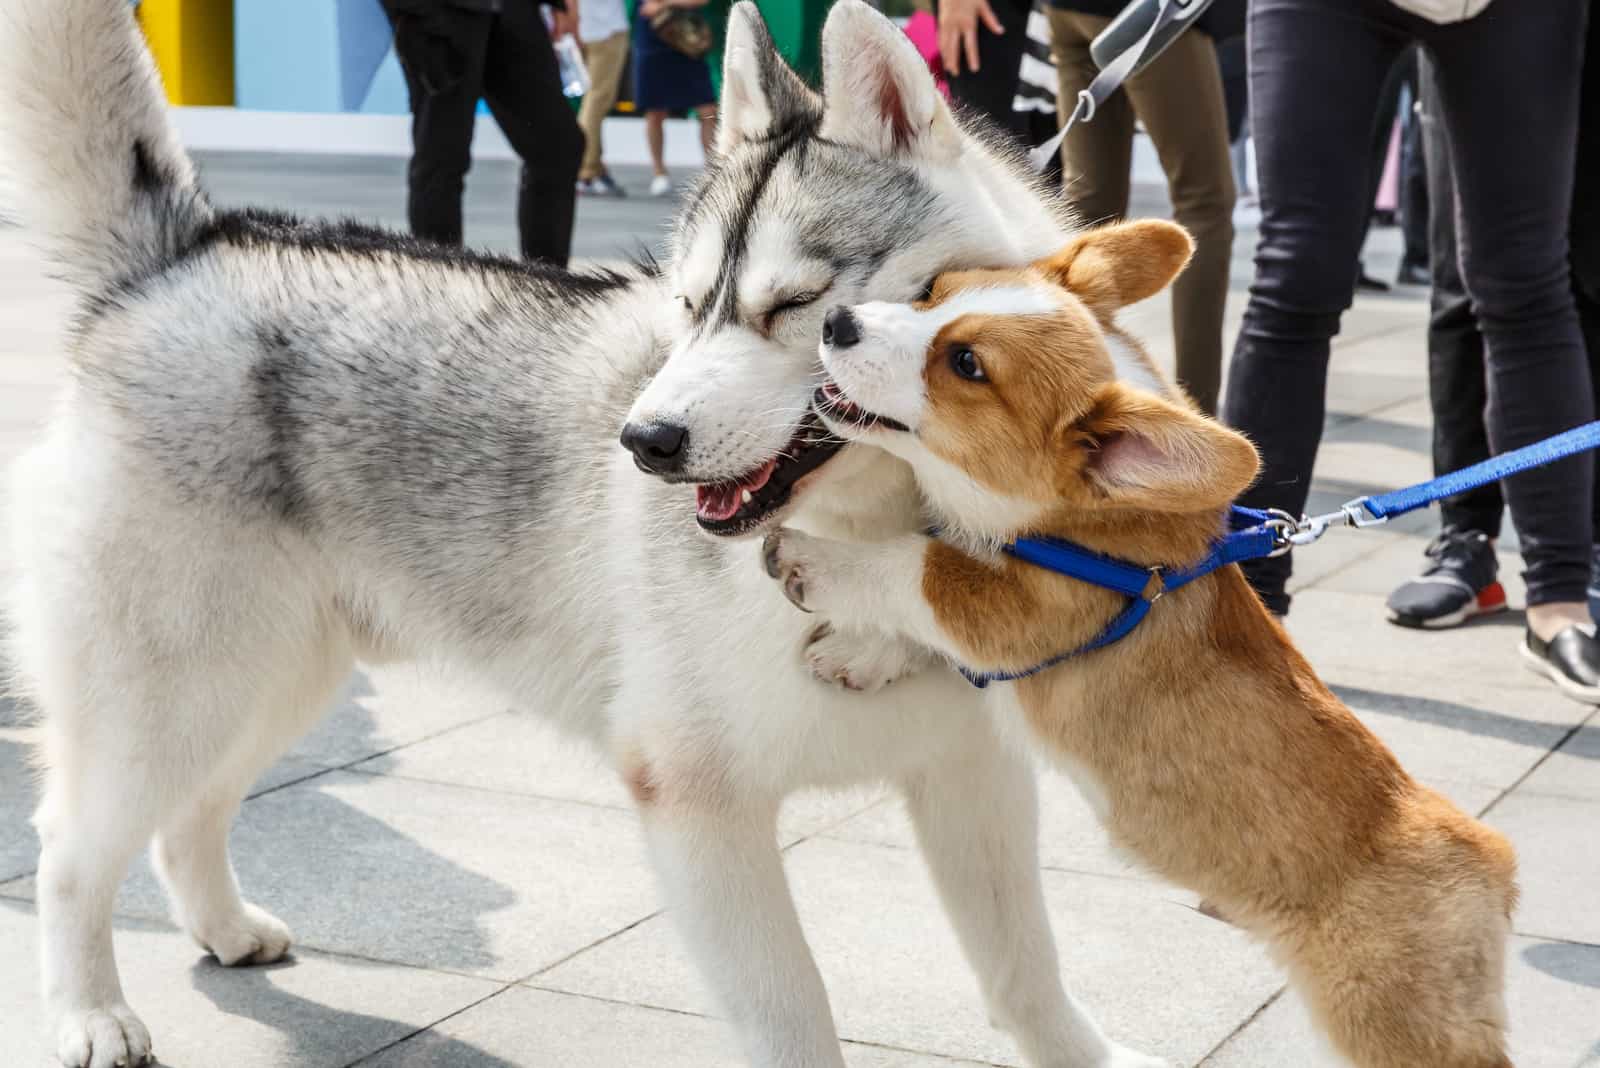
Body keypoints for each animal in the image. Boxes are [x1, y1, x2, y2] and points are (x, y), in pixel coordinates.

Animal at [0, 2, 1158, 1068]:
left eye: (797, 307)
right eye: (688, 306)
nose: (643, 441)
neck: (869, 543)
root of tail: (185, 254)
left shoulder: (972, 777)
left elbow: (1027, 974)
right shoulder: (695, 805)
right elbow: (794, 1021)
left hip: (270, 681)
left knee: (189, 811)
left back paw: (224, 929)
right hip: (176, 692)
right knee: (70, 848)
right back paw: (91, 1013)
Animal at [768, 219, 1516, 1068]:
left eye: (966, 365)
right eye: (933, 293)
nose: (838, 322)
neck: (1076, 522)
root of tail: (1491, 861)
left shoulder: (1016, 608)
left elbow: (914, 567)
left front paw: (809, 559)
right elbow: (921, 622)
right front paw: (860, 655)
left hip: (1392, 1021)